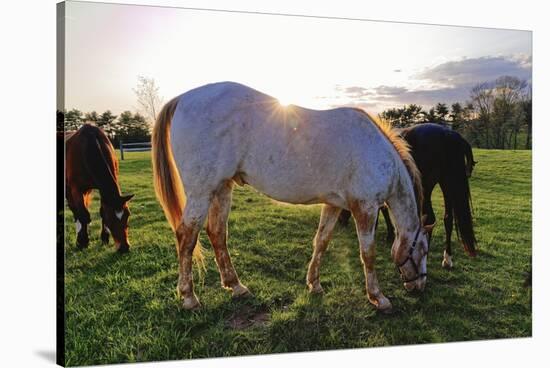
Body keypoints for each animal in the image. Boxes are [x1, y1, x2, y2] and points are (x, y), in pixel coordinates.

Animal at [152, 82, 436, 312]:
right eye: (423, 250)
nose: (420, 286)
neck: (377, 153)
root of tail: (183, 98)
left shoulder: (333, 205)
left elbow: (321, 241)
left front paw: (314, 284)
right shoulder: (365, 208)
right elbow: (368, 254)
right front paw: (378, 297)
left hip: (221, 188)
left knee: (217, 233)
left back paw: (236, 286)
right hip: (201, 192)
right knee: (187, 237)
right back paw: (189, 297)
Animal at [338, 123, 476, 268]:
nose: (341, 222)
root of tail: (447, 133)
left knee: (430, 219)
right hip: (448, 184)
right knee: (448, 218)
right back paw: (447, 259)